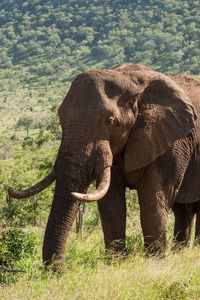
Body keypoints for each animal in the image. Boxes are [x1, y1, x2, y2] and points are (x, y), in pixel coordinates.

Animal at [7, 62, 200, 268]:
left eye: (110, 121)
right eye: (60, 118)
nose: (61, 271)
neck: (130, 79)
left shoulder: (171, 140)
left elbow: (152, 198)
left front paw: (154, 262)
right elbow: (111, 204)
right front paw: (117, 262)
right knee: (182, 210)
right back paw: (181, 250)